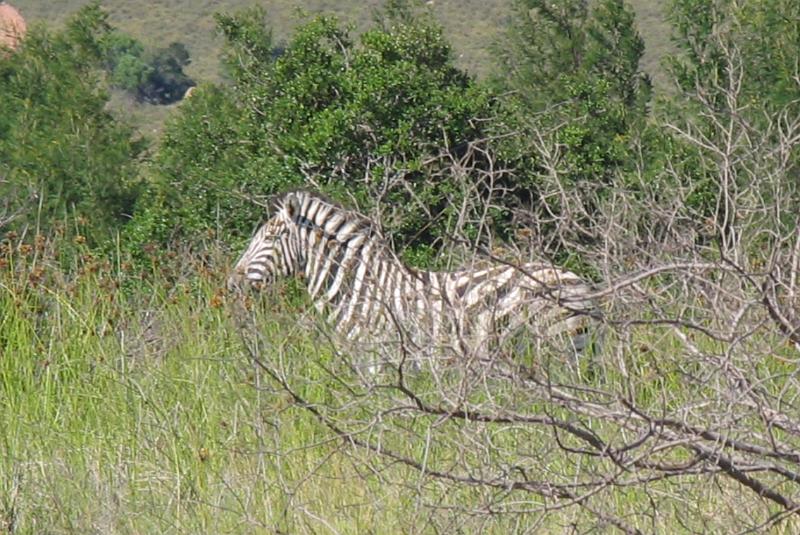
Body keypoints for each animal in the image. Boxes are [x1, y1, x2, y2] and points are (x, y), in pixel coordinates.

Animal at [228, 191, 604, 370]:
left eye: (269, 238)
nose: (232, 283)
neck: (358, 288)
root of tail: (581, 281)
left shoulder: (377, 356)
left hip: (559, 346)